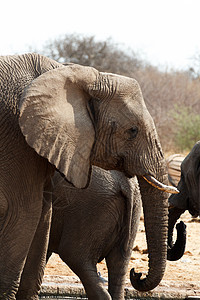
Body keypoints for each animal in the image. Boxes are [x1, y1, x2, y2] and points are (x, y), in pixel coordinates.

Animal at [46, 168, 141, 298]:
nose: (137, 274)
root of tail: (126, 183)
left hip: (89, 211)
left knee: (75, 257)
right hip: (133, 209)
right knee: (119, 264)